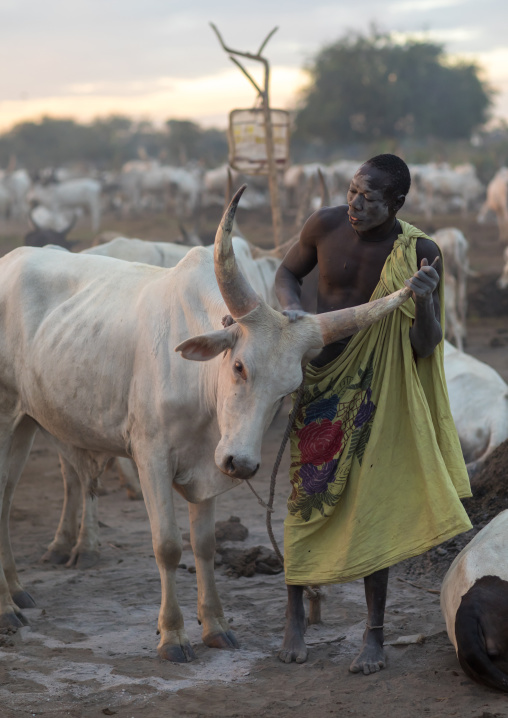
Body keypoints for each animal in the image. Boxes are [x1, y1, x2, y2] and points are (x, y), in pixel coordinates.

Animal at [0, 186, 410, 660]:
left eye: (289, 389)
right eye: (239, 366)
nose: (243, 464)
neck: (200, 389)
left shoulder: (209, 464)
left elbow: (205, 545)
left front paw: (215, 626)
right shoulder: (151, 456)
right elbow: (167, 545)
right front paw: (173, 635)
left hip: (25, 422)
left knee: (6, 499)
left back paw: (17, 592)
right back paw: (8, 608)